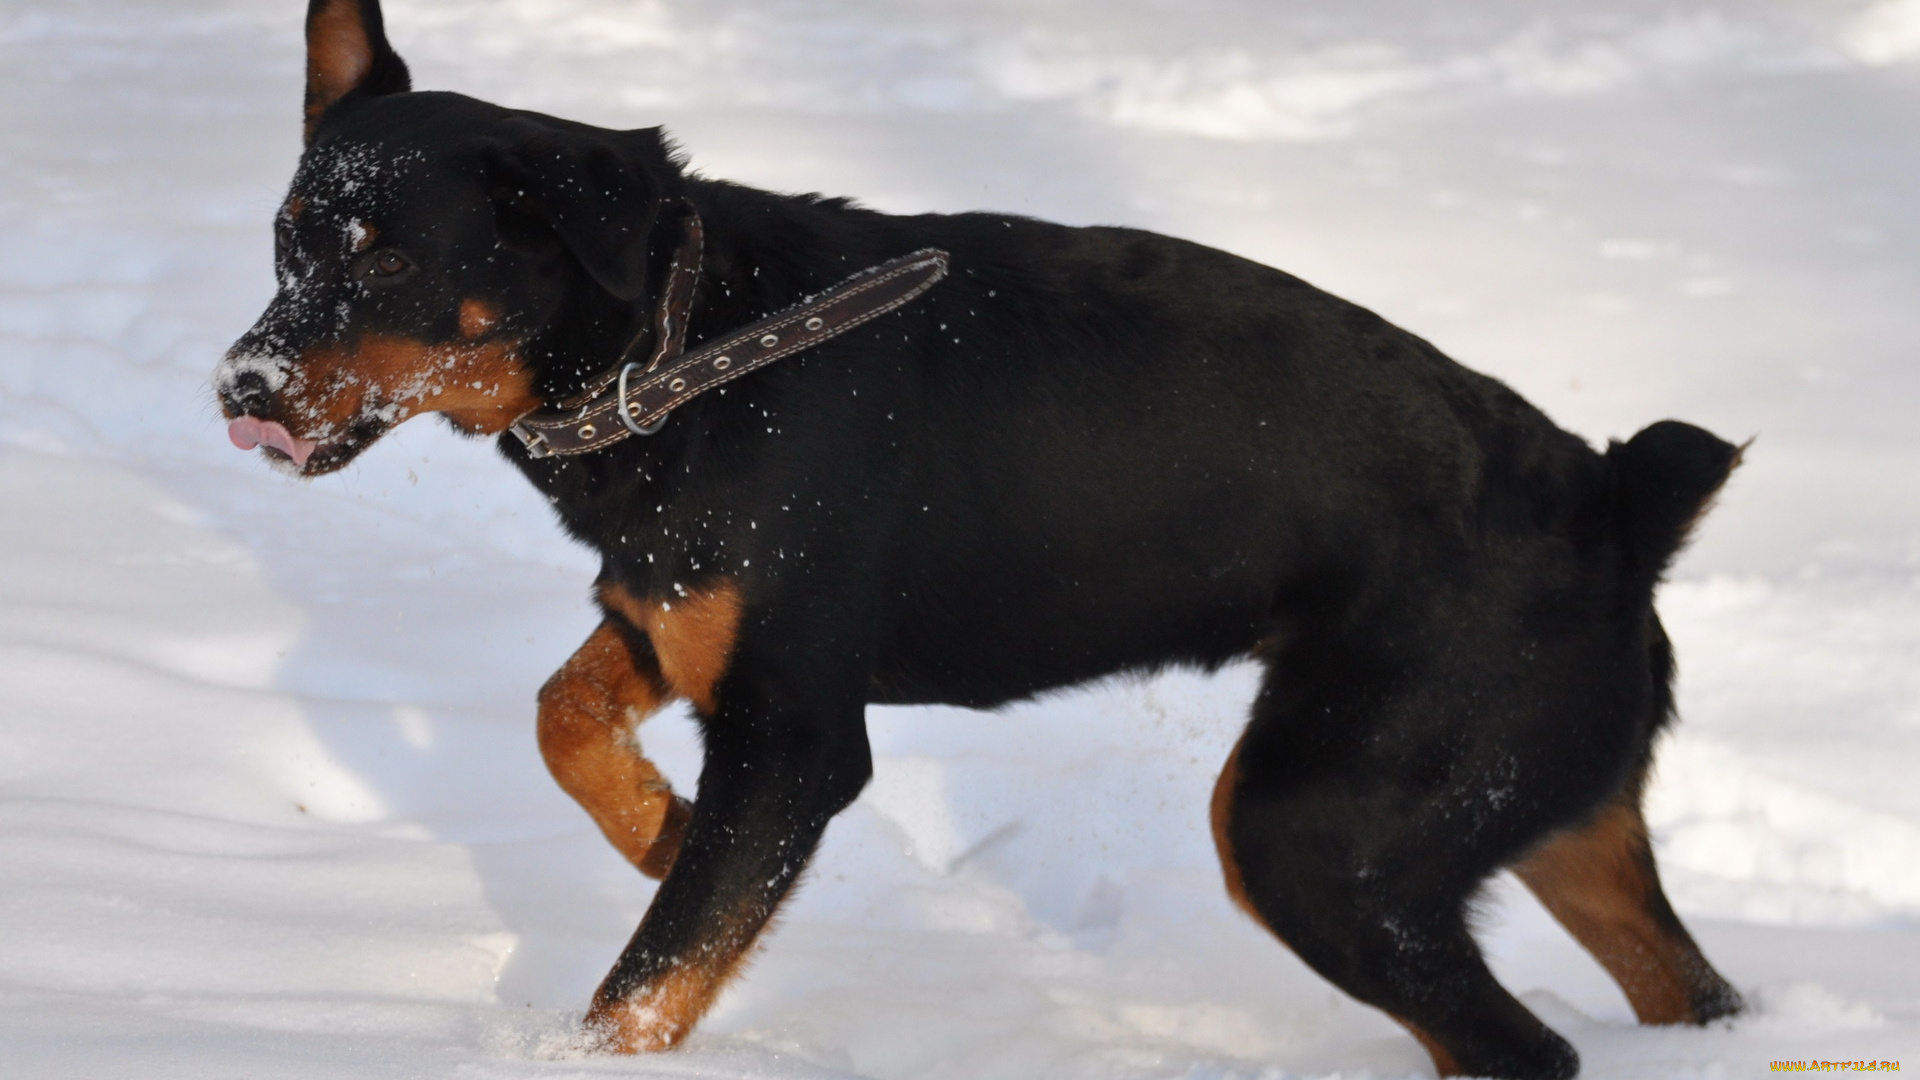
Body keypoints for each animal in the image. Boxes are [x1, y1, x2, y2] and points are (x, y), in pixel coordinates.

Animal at [217, 4, 1751, 1068]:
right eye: (288, 237)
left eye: (392, 259)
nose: (242, 387)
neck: (690, 349)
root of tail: (1614, 510)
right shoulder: (676, 623)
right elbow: (562, 718)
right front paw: (658, 827)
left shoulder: (797, 739)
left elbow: (645, 981)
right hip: (1533, 811)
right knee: (1687, 989)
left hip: (1315, 826)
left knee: (1519, 1047)